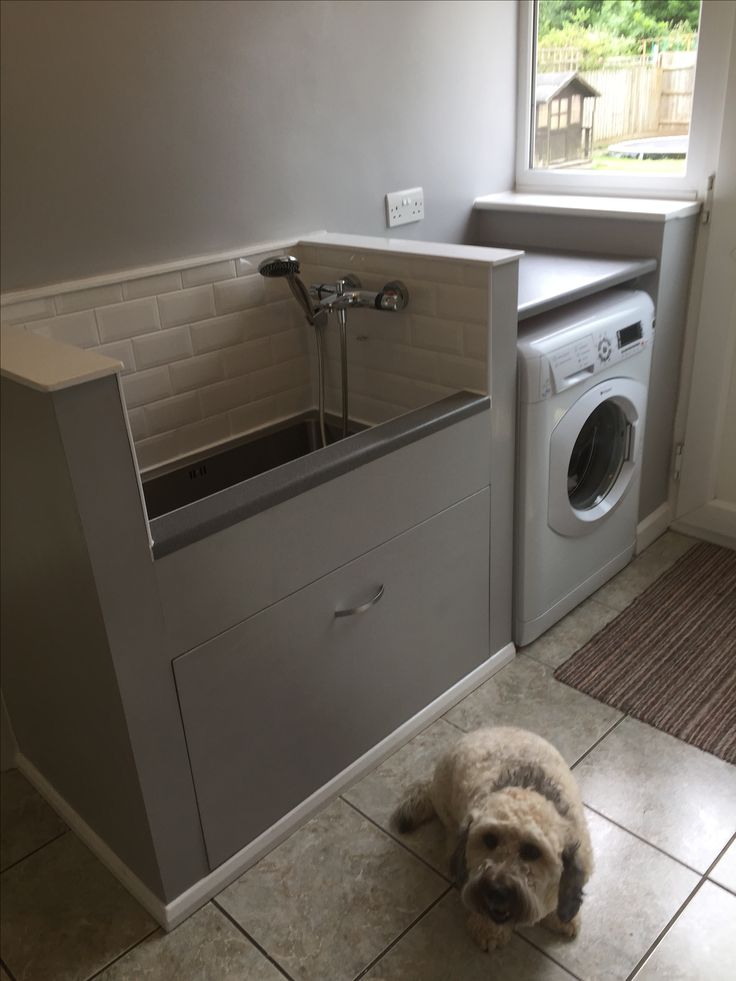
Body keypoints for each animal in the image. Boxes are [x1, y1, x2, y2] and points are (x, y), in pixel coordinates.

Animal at [392, 728, 592, 948]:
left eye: (532, 851)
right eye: (489, 840)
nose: (497, 890)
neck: (529, 788)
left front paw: (561, 918)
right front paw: (488, 930)